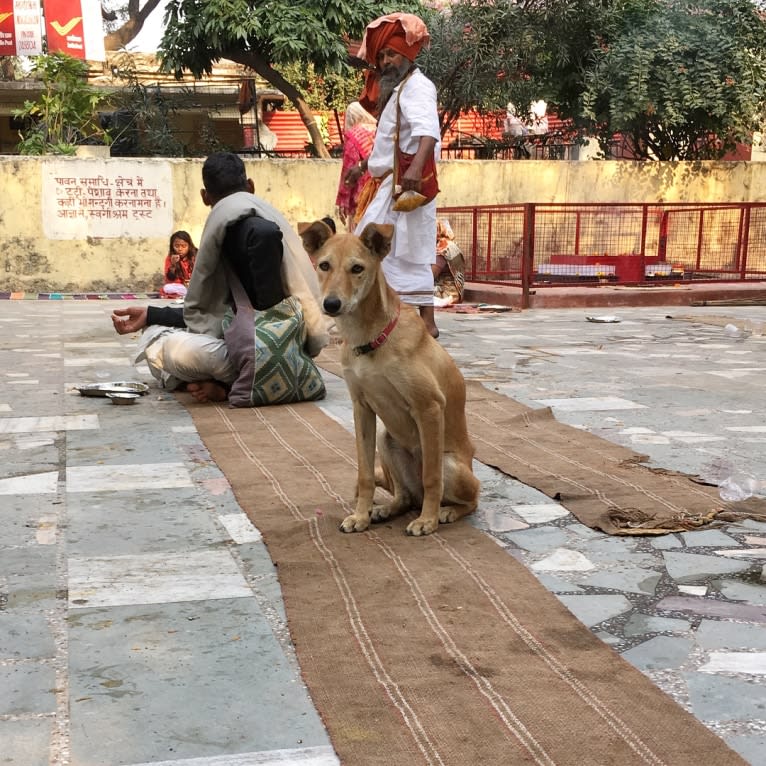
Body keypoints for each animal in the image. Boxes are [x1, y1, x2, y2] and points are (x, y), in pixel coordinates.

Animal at [300, 219, 480, 536]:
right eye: (324, 265)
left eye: (357, 268)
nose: (331, 304)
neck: (369, 338)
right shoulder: (361, 408)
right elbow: (365, 474)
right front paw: (360, 516)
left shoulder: (429, 407)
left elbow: (432, 477)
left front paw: (428, 521)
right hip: (388, 440)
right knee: (404, 496)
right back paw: (385, 509)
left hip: (453, 466)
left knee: (467, 498)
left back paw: (445, 512)